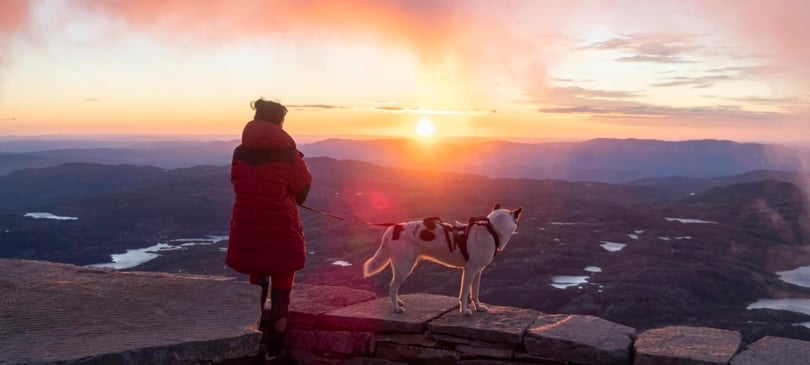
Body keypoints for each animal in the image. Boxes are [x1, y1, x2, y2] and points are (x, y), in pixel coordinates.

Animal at [362, 203, 520, 314]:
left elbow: (474, 293)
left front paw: (479, 307)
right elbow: (464, 293)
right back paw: (396, 308)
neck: (491, 230)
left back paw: (398, 302)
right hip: (404, 266)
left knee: (393, 287)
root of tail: (394, 228)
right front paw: (464, 311)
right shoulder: (469, 270)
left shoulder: (478, 271)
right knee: (392, 287)